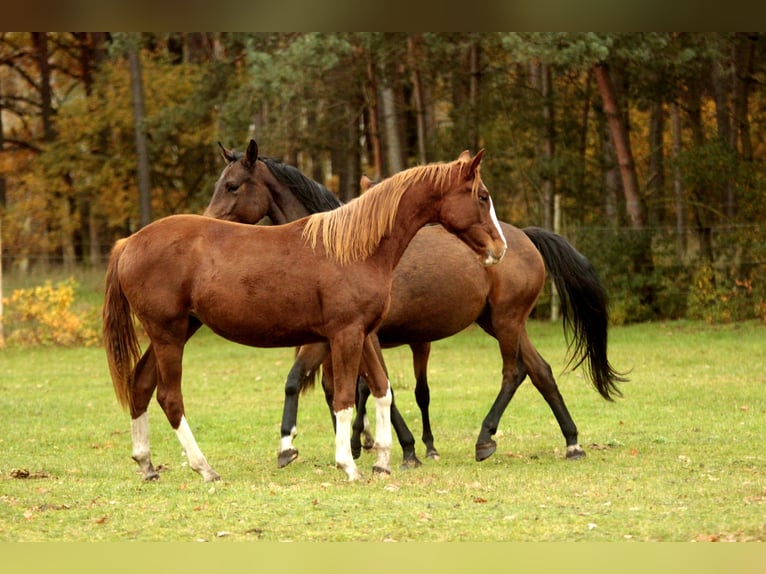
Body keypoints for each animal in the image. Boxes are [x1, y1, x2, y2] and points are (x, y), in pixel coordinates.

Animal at [103, 146, 510, 484]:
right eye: (482, 196)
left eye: (232, 186)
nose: (499, 247)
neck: (355, 247)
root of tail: (129, 242)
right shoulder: (344, 335)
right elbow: (344, 397)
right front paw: (348, 464)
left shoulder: (364, 334)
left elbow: (382, 391)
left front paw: (382, 461)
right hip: (168, 335)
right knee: (169, 397)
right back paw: (203, 467)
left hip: (176, 331)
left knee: (141, 385)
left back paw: (147, 464)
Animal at [206, 142, 632, 470]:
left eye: (232, 185)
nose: (206, 222)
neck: (340, 244)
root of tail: (523, 238)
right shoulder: (334, 337)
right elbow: (329, 386)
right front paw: (351, 444)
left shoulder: (357, 336)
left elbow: (370, 389)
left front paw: (401, 449)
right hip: (500, 322)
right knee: (541, 371)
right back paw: (572, 442)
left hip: (507, 322)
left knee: (514, 372)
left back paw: (485, 438)